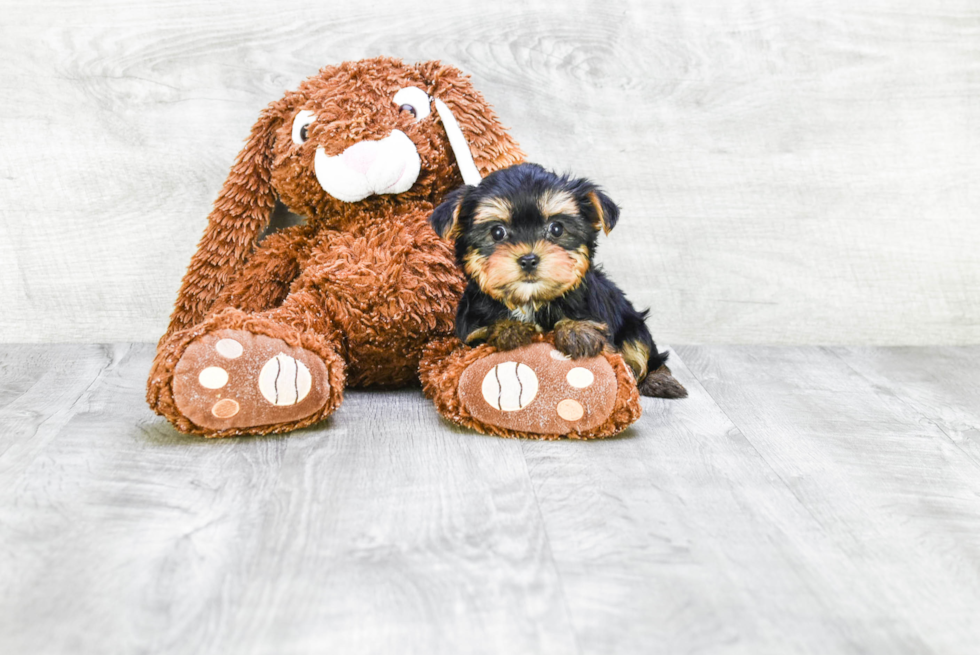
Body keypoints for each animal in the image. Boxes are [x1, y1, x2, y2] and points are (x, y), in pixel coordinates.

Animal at [428, 164, 688, 400]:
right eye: (497, 232)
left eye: (556, 228)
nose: (529, 259)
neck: (531, 301)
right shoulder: (470, 335)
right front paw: (509, 328)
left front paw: (576, 331)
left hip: (633, 323)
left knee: (645, 353)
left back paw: (660, 380)